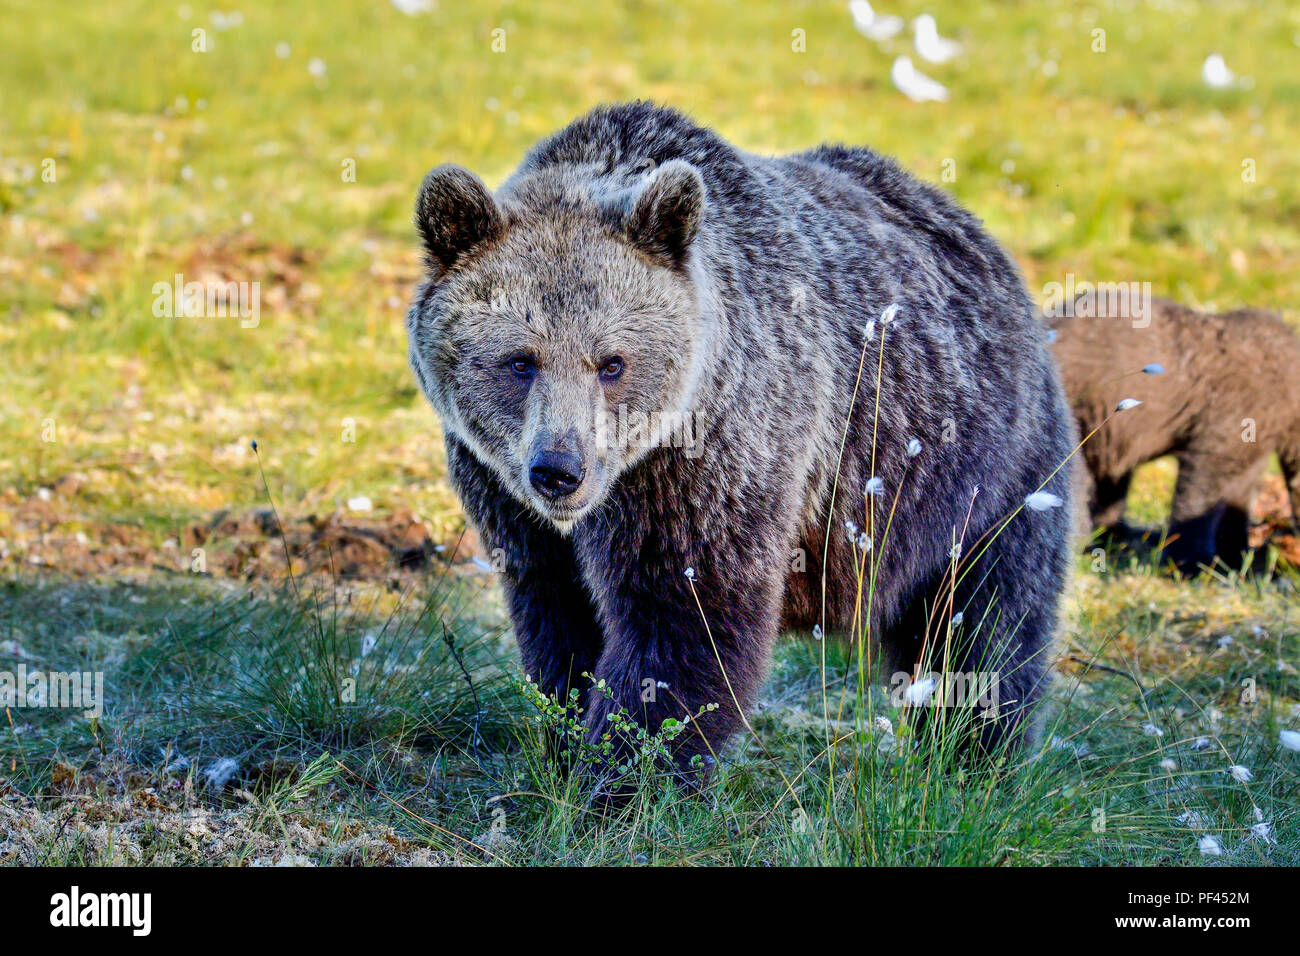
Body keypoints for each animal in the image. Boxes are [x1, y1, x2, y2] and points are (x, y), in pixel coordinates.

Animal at [406, 102, 1074, 781]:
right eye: (521, 360)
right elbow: (558, 619)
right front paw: (567, 748)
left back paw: (972, 756)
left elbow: (683, 617)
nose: (559, 470)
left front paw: (625, 772)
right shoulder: (507, 498)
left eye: (612, 363)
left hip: (977, 476)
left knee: (982, 624)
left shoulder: (712, 458)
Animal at [1048, 295, 1300, 574]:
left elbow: (1238, 498)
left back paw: (1119, 534)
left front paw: (1235, 557)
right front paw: (1190, 561)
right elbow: (1200, 494)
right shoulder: (1228, 422)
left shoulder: (1251, 446)